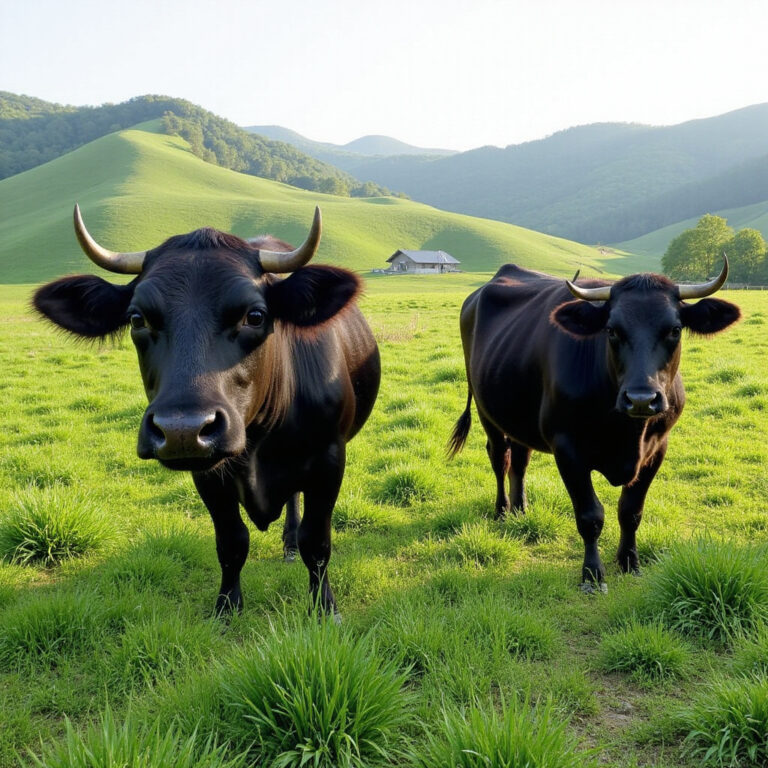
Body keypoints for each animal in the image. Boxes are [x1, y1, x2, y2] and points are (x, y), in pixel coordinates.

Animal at [34, 205, 380, 618]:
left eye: (255, 316)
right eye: (137, 319)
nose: (182, 429)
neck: (258, 444)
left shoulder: (329, 459)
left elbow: (317, 542)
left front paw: (325, 608)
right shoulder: (207, 473)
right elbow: (231, 542)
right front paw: (226, 609)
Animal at [448, 261, 739, 591]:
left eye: (675, 330)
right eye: (611, 330)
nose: (641, 399)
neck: (627, 434)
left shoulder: (657, 449)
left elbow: (631, 511)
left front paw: (629, 561)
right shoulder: (567, 449)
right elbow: (590, 516)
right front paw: (591, 573)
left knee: (520, 461)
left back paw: (521, 509)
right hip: (486, 409)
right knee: (500, 457)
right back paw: (502, 511)